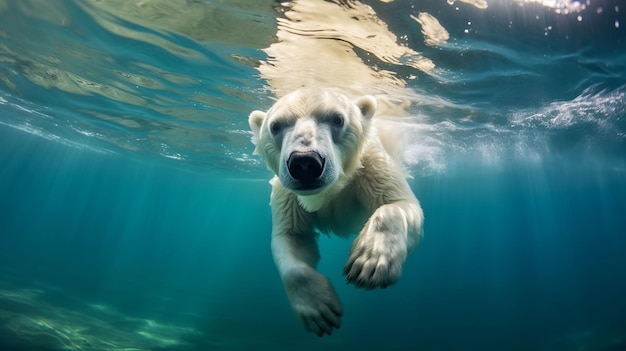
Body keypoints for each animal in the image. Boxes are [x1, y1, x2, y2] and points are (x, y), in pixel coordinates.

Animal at [246, 86, 422, 336]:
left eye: (338, 119)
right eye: (276, 126)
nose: (305, 163)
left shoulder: (370, 165)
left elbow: (399, 203)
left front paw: (369, 262)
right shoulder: (287, 193)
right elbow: (292, 236)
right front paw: (318, 308)